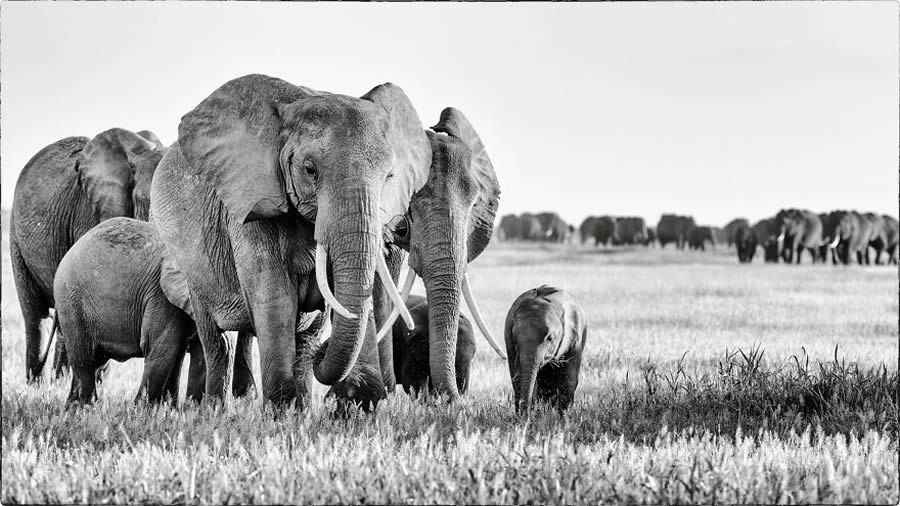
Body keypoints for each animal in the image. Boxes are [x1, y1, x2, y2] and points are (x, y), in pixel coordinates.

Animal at [53, 217, 196, 404]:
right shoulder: (161, 296)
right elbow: (160, 347)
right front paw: (142, 408)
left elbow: (178, 352)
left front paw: (168, 408)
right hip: (71, 300)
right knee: (84, 359)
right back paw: (86, 405)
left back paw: (73, 406)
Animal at [502, 282, 588, 414]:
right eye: (515, 340)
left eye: (550, 338)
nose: (525, 416)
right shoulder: (509, 341)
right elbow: (520, 378)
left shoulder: (575, 338)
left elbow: (568, 381)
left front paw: (563, 416)